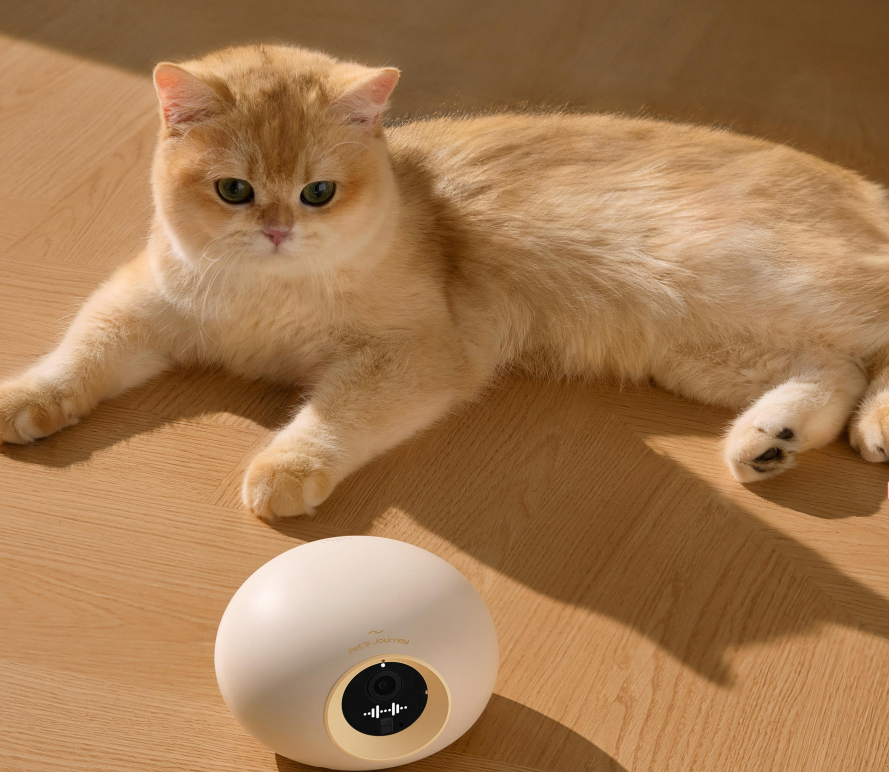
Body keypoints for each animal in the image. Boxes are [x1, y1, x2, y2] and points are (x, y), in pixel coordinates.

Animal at [2, 43, 888, 520]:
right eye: (233, 190)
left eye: (318, 191)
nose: (277, 229)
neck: (266, 298)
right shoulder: (139, 306)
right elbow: (77, 356)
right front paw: (26, 398)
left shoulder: (417, 353)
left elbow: (334, 414)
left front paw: (285, 468)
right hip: (709, 349)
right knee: (834, 370)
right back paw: (767, 442)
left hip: (766, 282)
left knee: (869, 352)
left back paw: (869, 428)